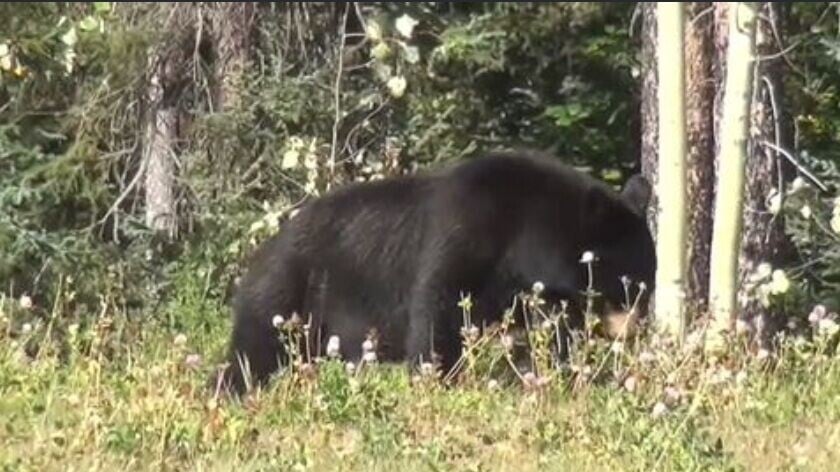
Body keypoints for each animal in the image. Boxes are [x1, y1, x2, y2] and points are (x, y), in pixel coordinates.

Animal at [213, 150, 656, 395]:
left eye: (647, 285)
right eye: (627, 285)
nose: (637, 330)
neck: (526, 230)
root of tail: (260, 251)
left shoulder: (536, 290)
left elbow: (552, 329)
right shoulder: (466, 228)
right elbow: (439, 303)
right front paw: (437, 377)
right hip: (287, 291)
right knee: (254, 350)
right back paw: (231, 391)